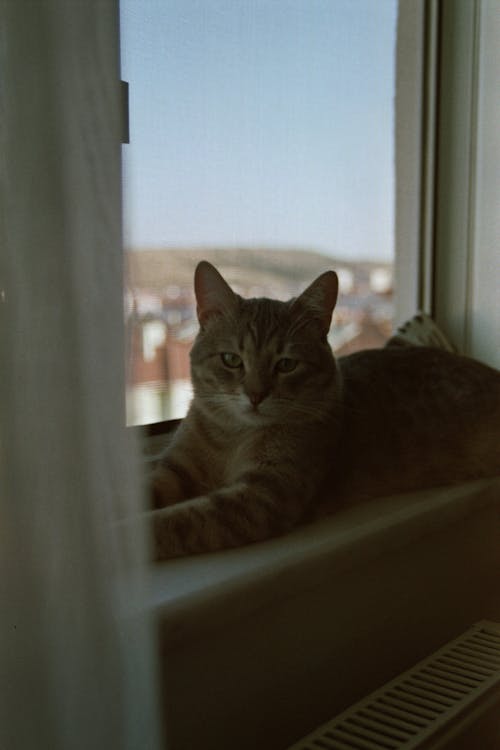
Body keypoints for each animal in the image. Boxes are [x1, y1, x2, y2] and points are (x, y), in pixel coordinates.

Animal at [149, 262, 500, 560]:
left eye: (286, 364)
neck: (232, 438)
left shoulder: (262, 496)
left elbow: (177, 522)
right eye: (231, 359)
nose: (256, 395)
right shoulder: (177, 467)